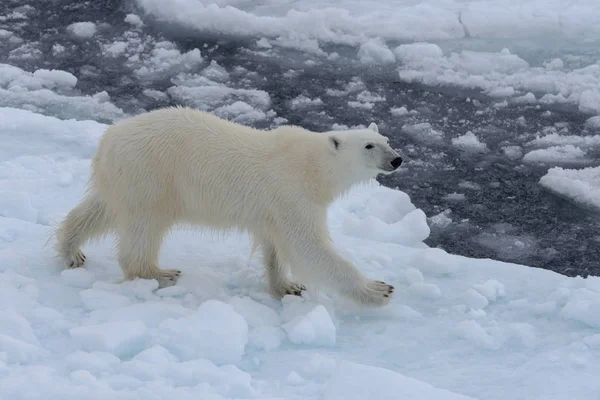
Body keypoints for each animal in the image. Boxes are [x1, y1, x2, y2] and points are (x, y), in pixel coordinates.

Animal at [55, 106, 404, 306]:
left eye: (387, 140)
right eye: (369, 146)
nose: (397, 159)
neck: (314, 167)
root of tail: (108, 139)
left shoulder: (274, 207)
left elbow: (275, 245)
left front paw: (287, 286)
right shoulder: (292, 191)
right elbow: (308, 247)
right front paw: (379, 289)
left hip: (125, 178)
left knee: (100, 210)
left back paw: (72, 250)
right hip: (152, 175)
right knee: (144, 225)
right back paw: (160, 273)